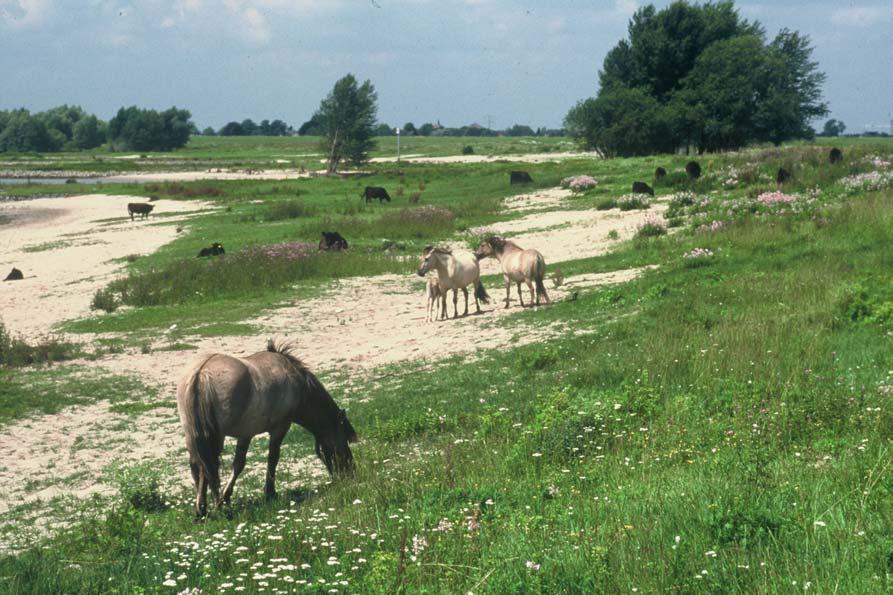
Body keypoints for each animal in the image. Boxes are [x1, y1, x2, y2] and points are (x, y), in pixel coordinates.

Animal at [176, 340, 358, 516]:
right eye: (342, 445)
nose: (351, 473)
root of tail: (201, 373)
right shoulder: (279, 428)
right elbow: (272, 458)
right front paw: (269, 493)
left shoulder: (246, 434)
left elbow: (238, 464)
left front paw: (226, 497)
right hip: (216, 437)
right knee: (208, 467)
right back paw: (213, 506)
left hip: (192, 435)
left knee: (197, 466)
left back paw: (201, 509)